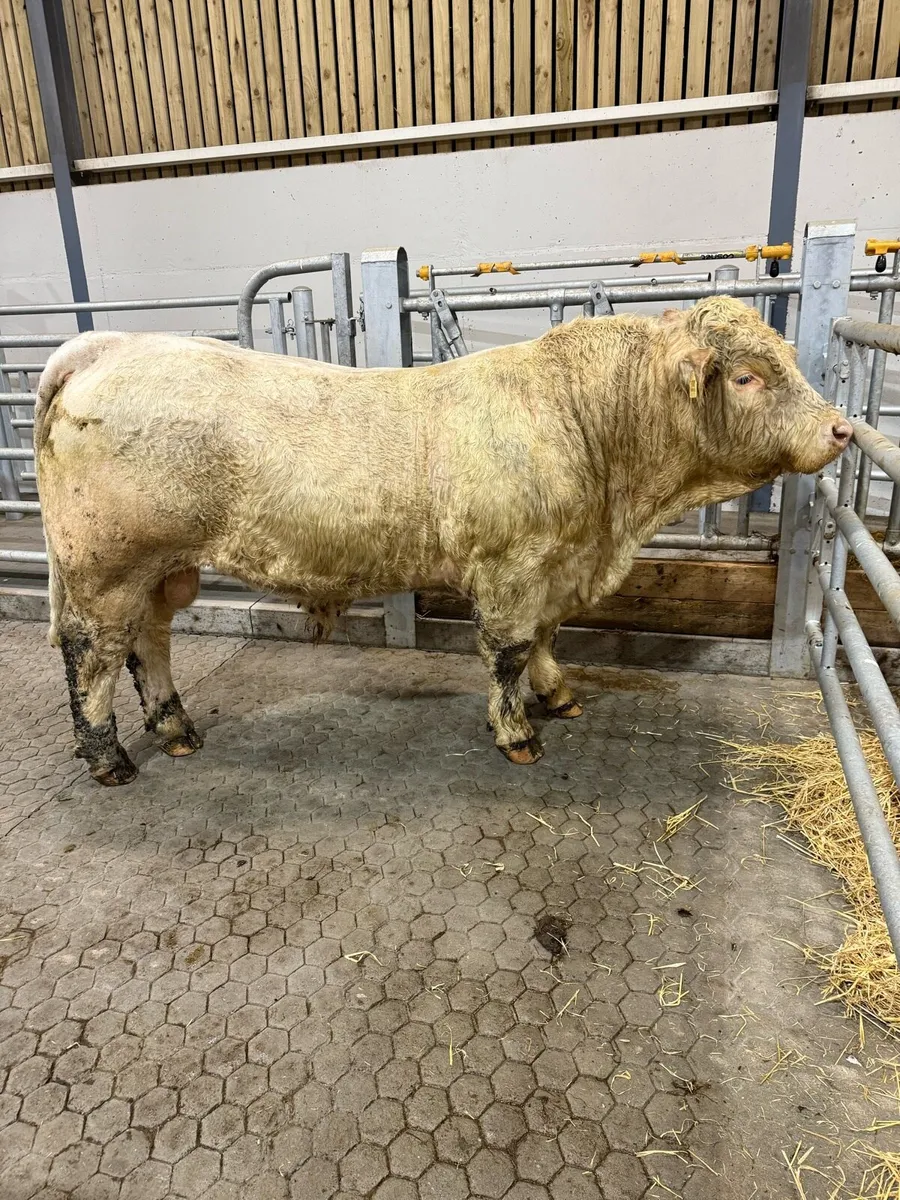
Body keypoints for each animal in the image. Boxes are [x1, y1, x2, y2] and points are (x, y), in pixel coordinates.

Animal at [34, 298, 851, 786]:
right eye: (746, 378)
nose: (841, 429)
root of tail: (104, 345)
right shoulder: (513, 566)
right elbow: (509, 649)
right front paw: (517, 731)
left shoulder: (556, 564)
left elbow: (547, 635)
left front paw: (558, 695)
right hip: (107, 567)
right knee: (92, 656)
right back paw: (109, 758)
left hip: (160, 571)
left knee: (150, 645)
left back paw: (176, 728)